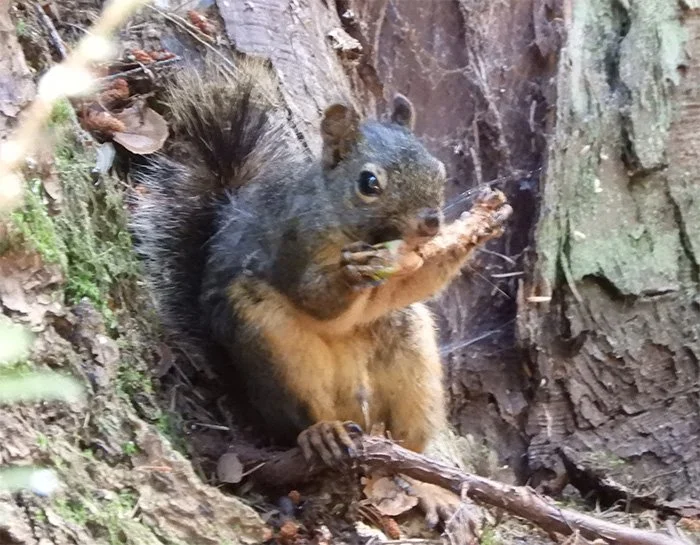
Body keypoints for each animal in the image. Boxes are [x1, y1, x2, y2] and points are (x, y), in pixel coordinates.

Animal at [131, 58, 490, 528]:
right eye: (369, 183)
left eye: (439, 169)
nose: (431, 222)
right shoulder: (293, 241)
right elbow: (312, 298)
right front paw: (350, 275)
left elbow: (409, 285)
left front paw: (472, 235)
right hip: (274, 345)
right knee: (303, 415)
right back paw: (323, 433)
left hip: (410, 359)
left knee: (409, 450)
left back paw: (430, 485)